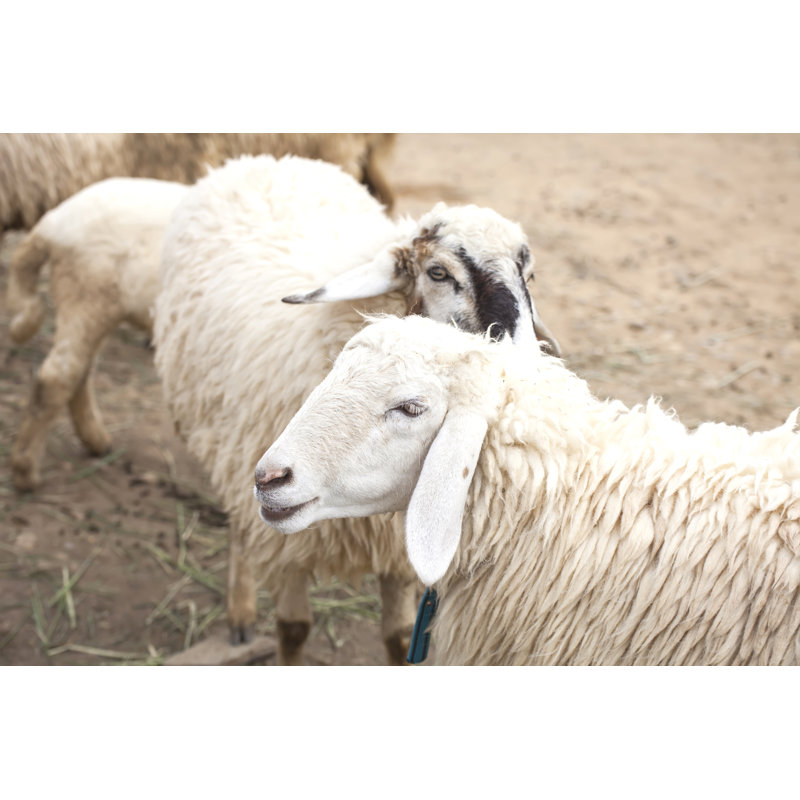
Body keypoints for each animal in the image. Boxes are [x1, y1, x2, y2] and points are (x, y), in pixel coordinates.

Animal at [6, 177, 188, 491]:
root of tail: (52, 222)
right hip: (86, 296)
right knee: (56, 377)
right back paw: (25, 471)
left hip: (98, 308)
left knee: (81, 372)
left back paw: (96, 441)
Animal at [153, 153, 563, 665]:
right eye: (438, 273)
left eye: (529, 276)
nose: (525, 362)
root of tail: (264, 159)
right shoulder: (287, 529)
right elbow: (293, 628)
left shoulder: (396, 550)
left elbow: (398, 636)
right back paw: (241, 610)